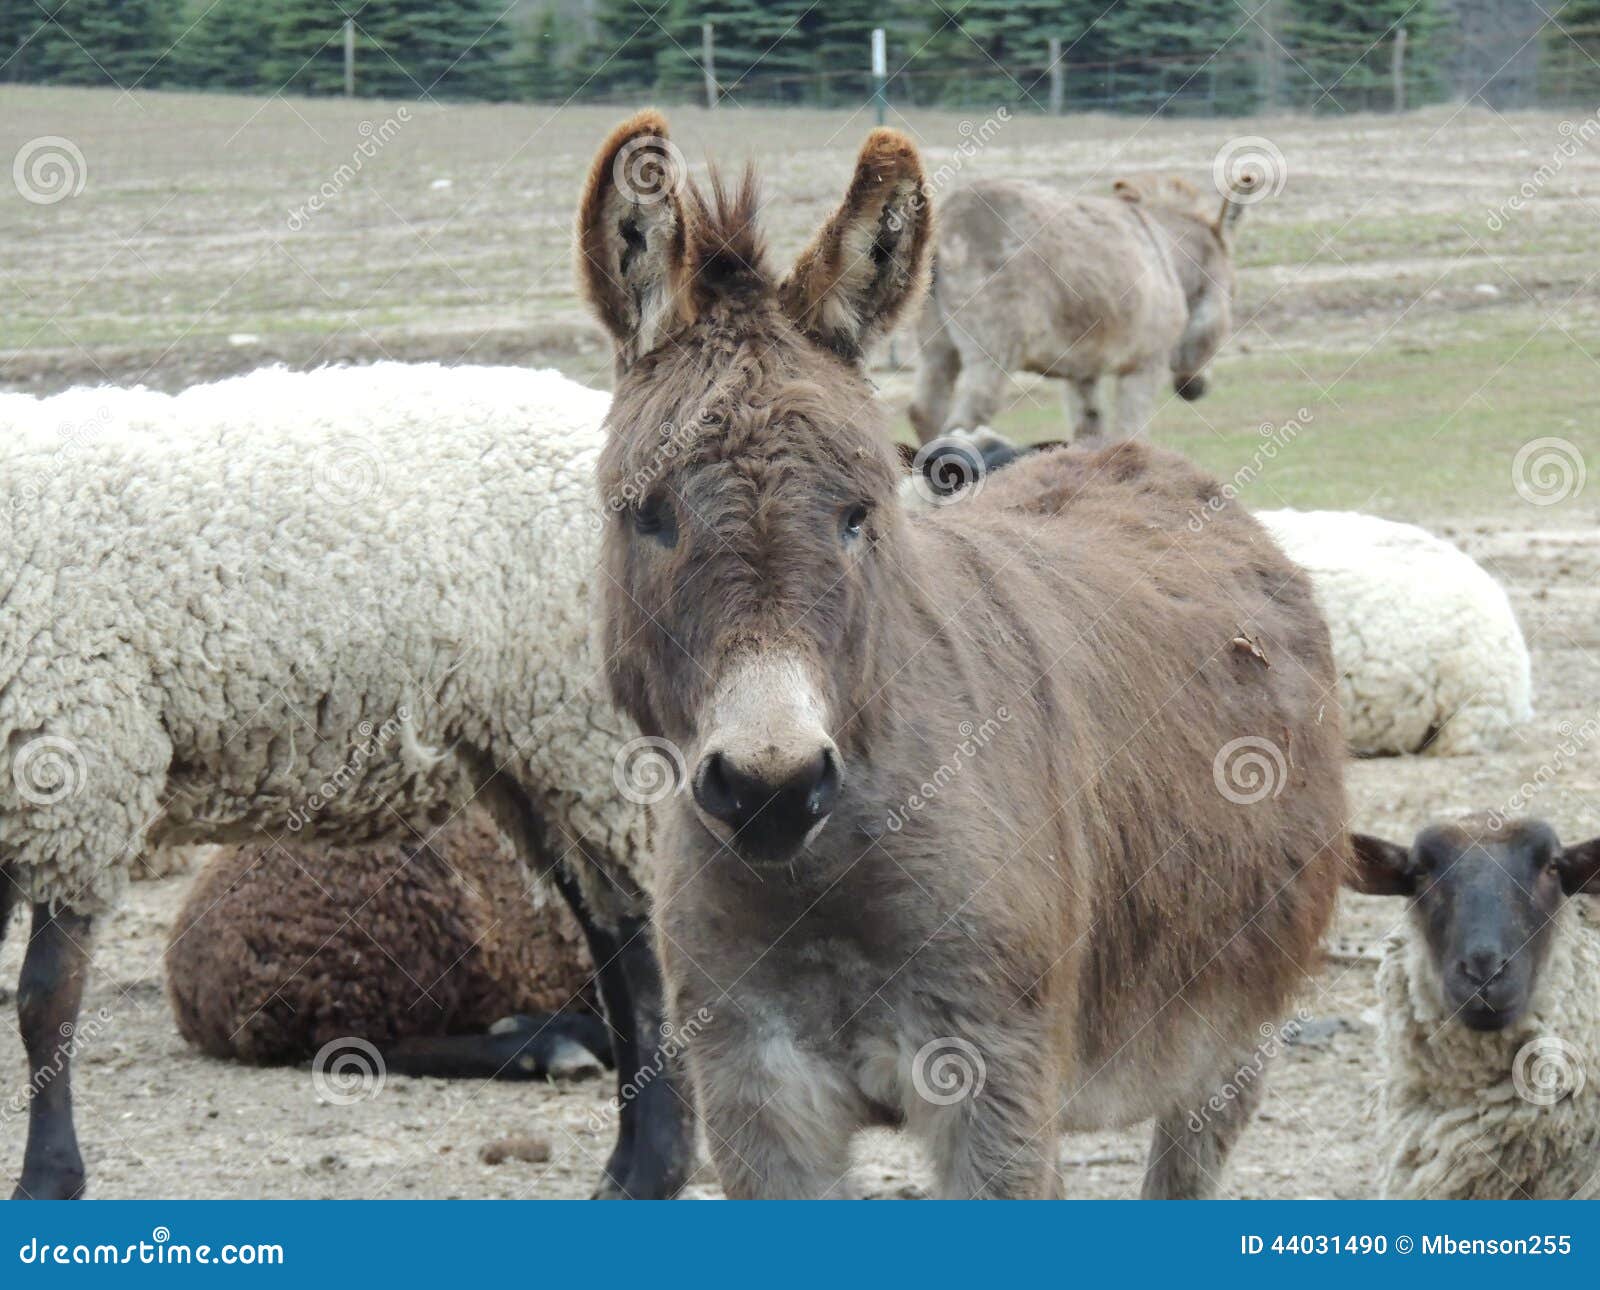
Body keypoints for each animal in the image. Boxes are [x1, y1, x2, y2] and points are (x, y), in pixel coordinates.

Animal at [908, 168, 1259, 444]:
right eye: (1233, 294)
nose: (1194, 389)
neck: (1169, 261)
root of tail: (948, 218)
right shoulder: (1145, 364)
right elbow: (1130, 433)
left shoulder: (1082, 372)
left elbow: (1090, 432)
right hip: (991, 355)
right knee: (960, 425)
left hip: (936, 346)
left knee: (925, 413)